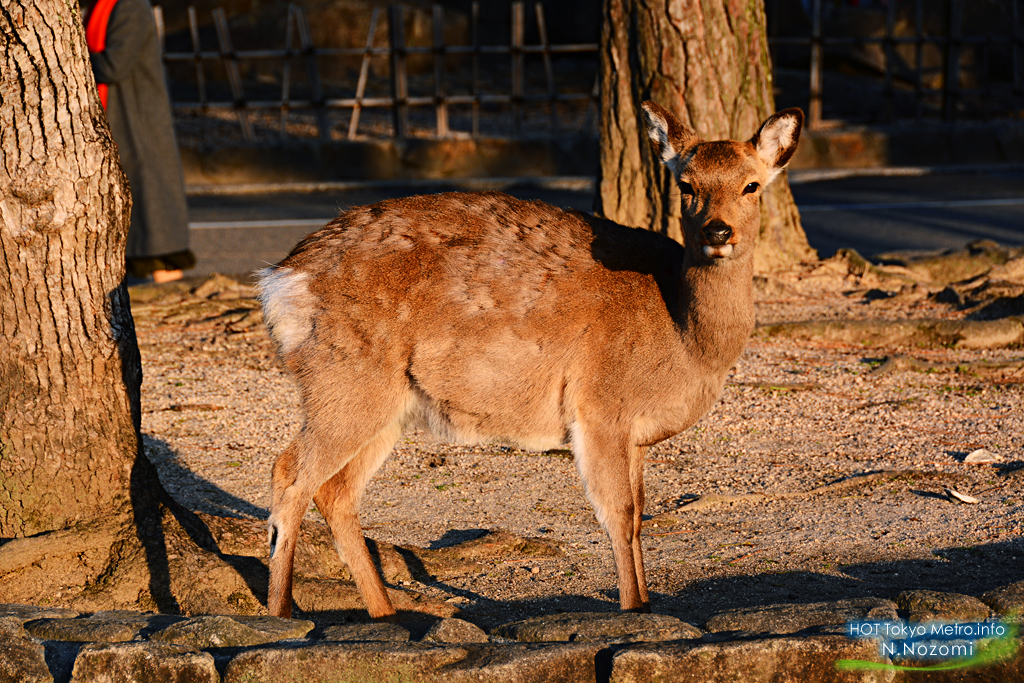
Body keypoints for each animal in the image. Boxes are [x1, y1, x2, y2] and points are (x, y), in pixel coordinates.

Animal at [253, 101, 798, 618]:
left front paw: (647, 602)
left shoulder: (637, 434)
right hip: (344, 376)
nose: (718, 231)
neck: (685, 341)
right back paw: (282, 613)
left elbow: (640, 514)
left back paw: (384, 612)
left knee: (336, 490)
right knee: (290, 473)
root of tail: (280, 278)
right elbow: (618, 514)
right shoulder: (600, 407)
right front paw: (634, 608)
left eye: (751, 185)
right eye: (686, 184)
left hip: (388, 403)